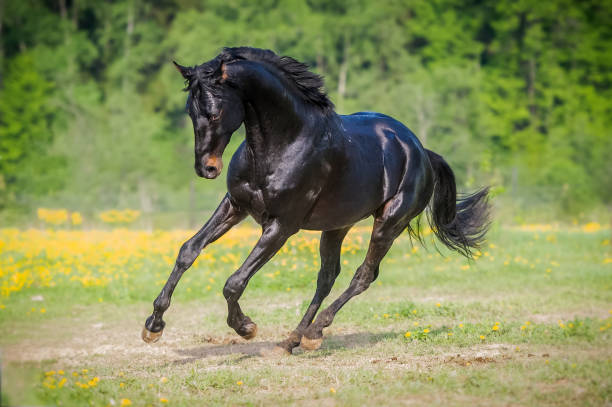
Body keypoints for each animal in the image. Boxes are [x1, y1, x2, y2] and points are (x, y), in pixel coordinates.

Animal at [142, 47, 488, 354]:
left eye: (214, 113)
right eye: (190, 112)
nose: (207, 168)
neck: (283, 142)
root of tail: (421, 151)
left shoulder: (281, 226)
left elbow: (234, 282)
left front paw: (246, 327)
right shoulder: (235, 205)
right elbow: (188, 250)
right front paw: (153, 326)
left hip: (389, 223)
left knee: (363, 275)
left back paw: (313, 333)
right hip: (337, 226)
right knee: (327, 277)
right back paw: (292, 341)